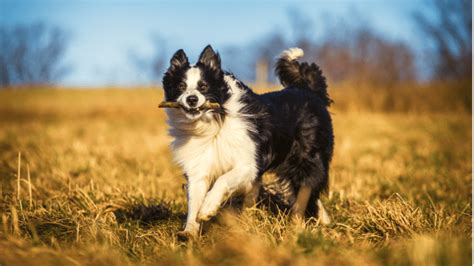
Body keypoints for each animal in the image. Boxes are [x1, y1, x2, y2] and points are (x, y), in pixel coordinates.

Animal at [163, 44, 334, 240]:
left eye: (203, 86)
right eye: (181, 86)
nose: (192, 99)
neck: (215, 122)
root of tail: (308, 90)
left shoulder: (248, 164)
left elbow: (222, 180)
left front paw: (207, 209)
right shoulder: (198, 167)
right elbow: (194, 200)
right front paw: (189, 231)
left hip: (306, 158)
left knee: (308, 187)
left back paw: (307, 224)